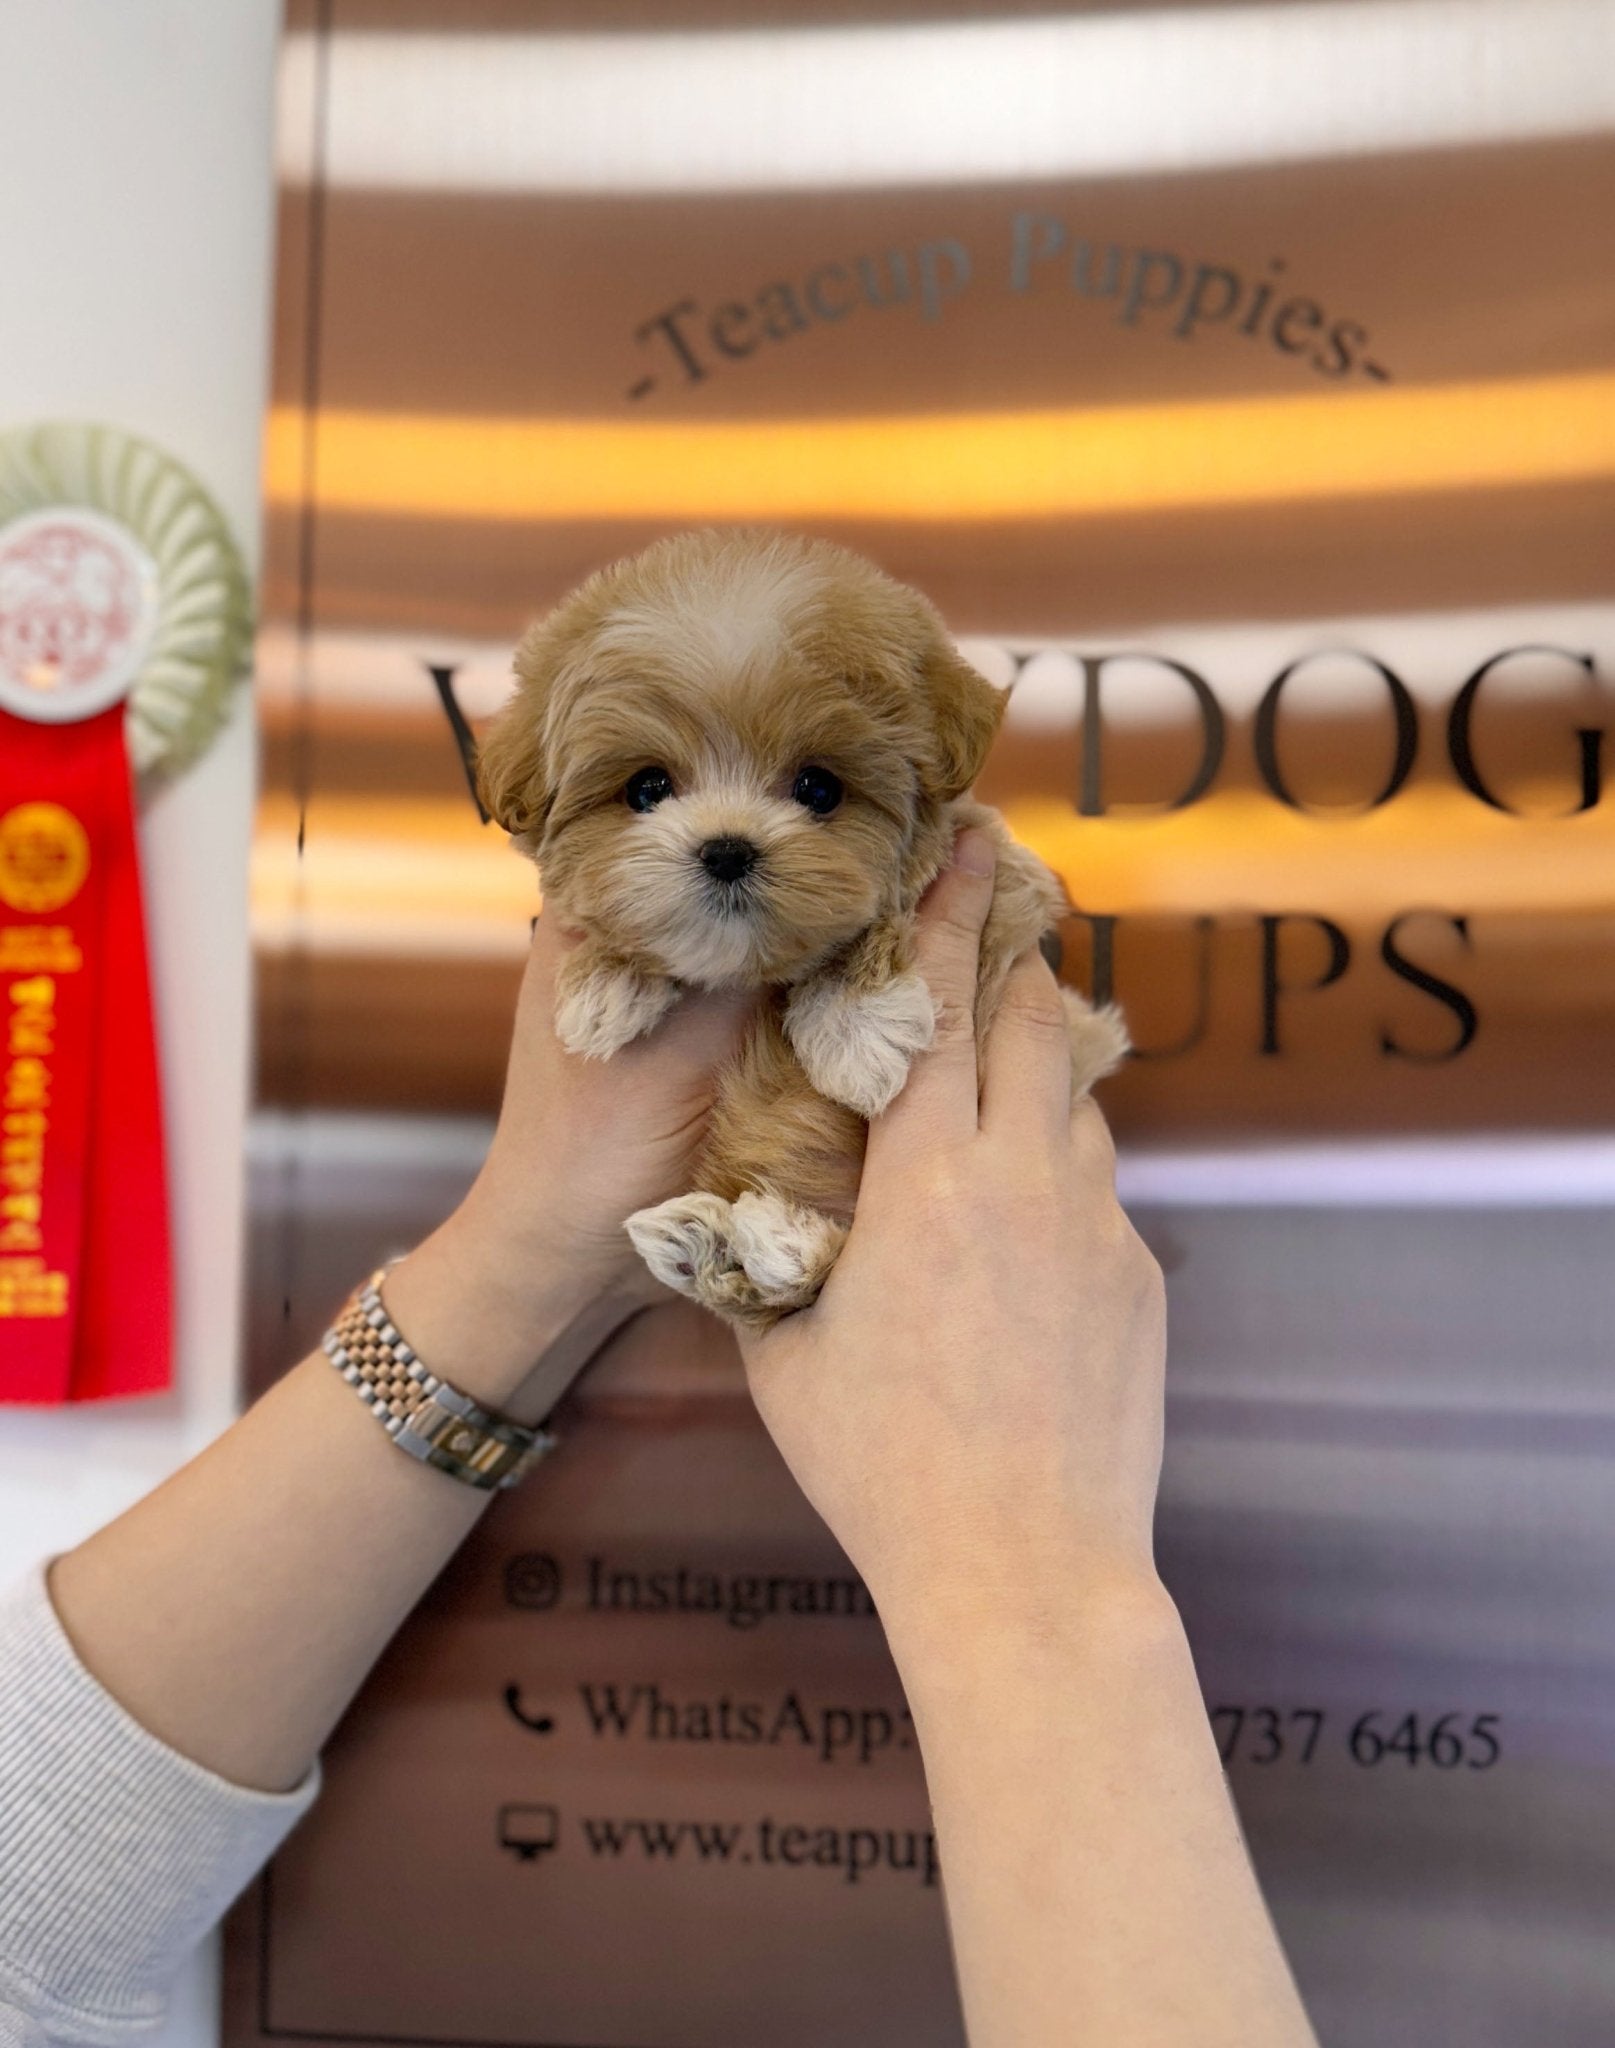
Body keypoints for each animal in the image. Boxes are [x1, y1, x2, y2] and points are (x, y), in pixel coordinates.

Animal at [474, 528, 1121, 1335]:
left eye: (818, 788)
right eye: (647, 788)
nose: (726, 849)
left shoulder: (999, 886)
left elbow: (890, 917)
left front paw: (857, 1027)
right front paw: (606, 983)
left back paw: (774, 1241)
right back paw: (715, 1243)